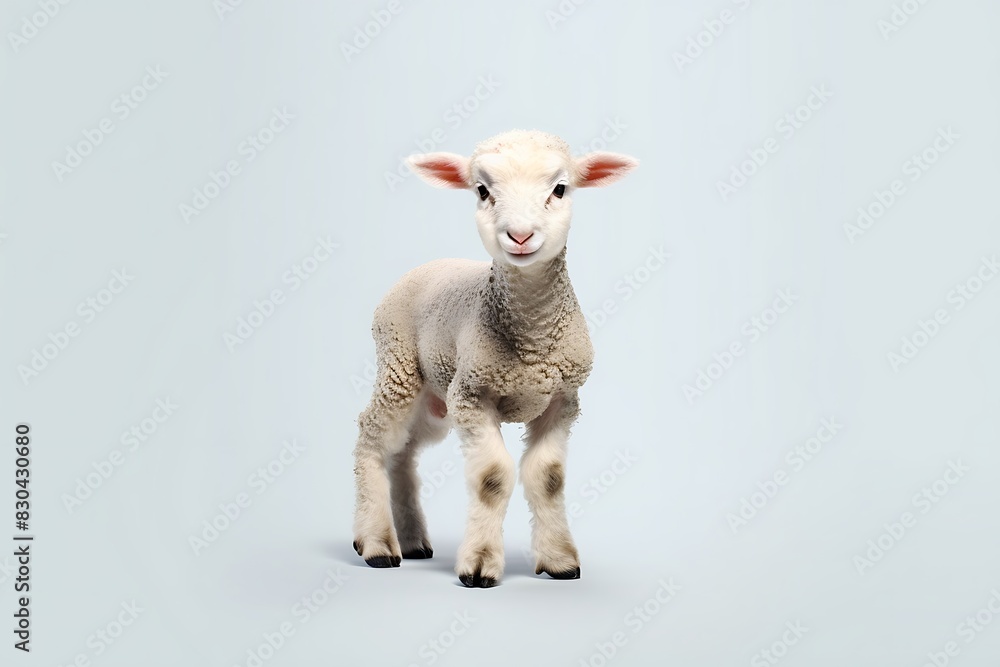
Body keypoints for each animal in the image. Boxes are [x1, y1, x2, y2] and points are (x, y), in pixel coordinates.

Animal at [352, 129, 638, 587]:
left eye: (560, 189)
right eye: (483, 191)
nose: (519, 236)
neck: (533, 341)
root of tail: (424, 266)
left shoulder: (563, 399)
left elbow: (548, 477)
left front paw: (559, 560)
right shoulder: (473, 396)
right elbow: (492, 477)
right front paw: (480, 564)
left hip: (436, 399)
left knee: (403, 452)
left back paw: (412, 541)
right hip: (399, 366)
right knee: (373, 436)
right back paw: (377, 543)